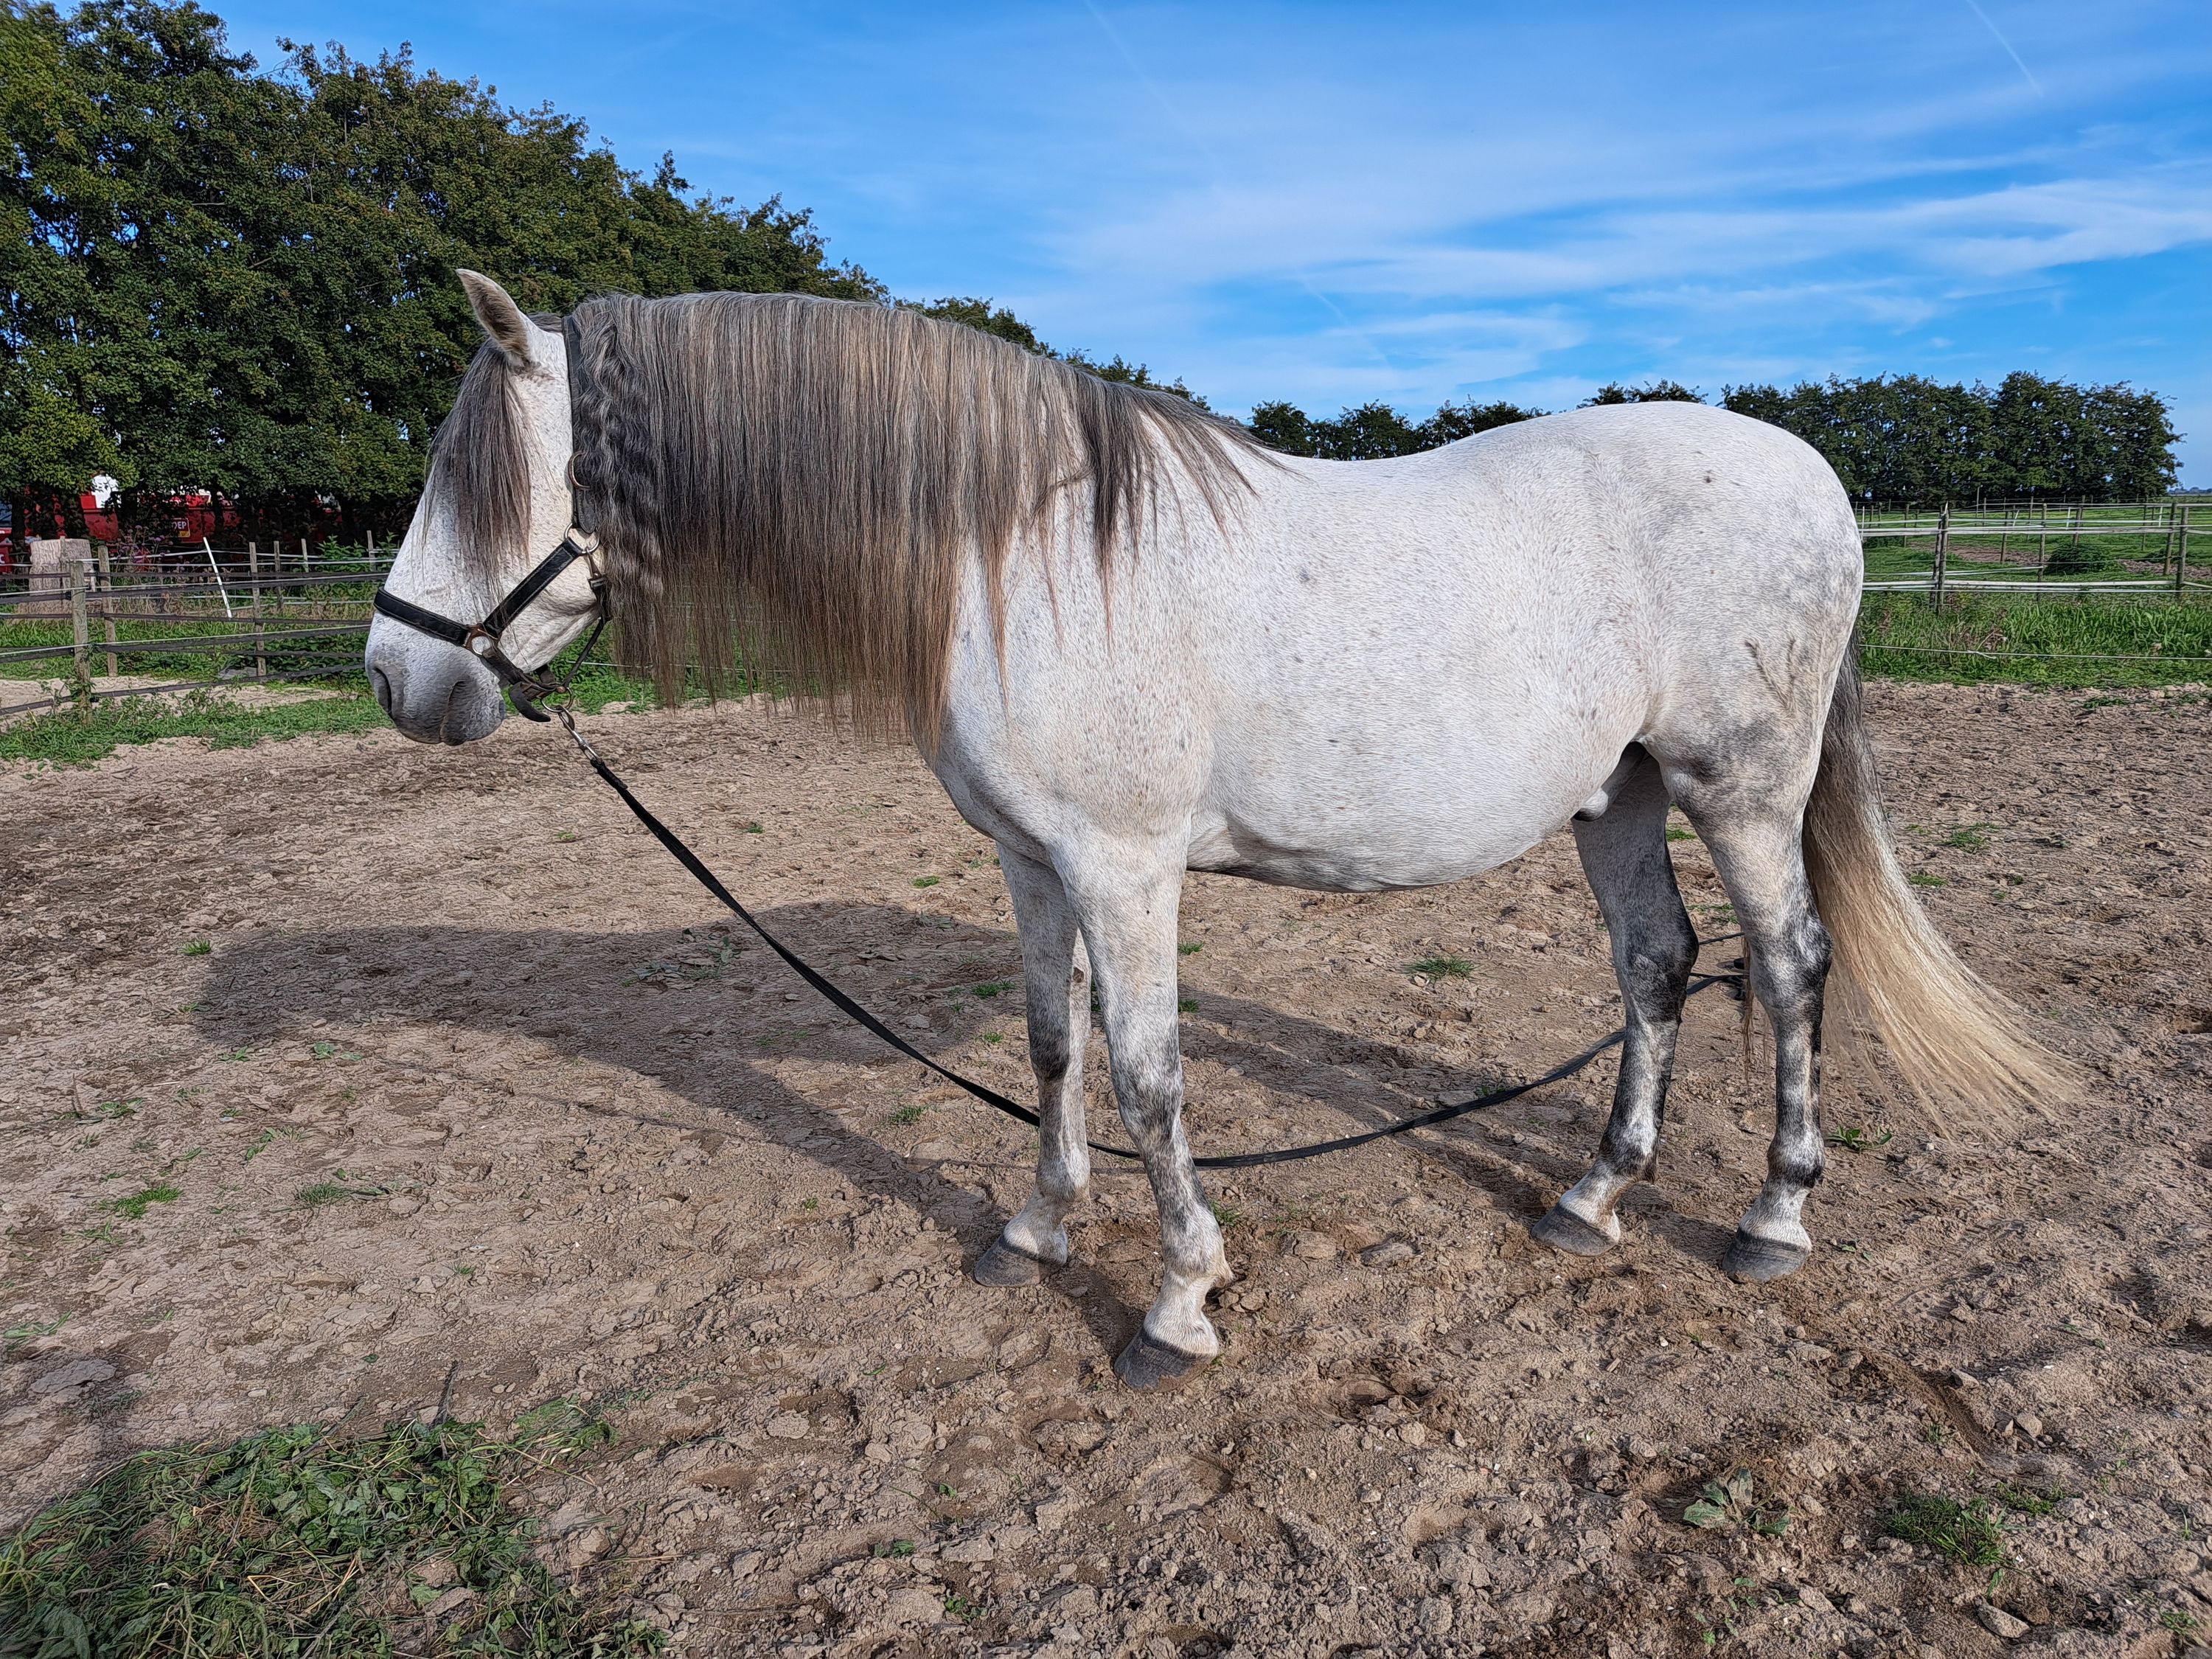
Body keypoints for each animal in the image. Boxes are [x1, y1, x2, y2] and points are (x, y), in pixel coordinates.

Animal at [365, 271, 2066, 1390]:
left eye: (474, 471)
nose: (395, 674)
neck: (1020, 554)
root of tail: (1816, 475)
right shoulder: (1030, 861)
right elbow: (1051, 1045)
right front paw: (1036, 1233)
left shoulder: (1124, 868)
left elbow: (1149, 1072)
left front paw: (1176, 1301)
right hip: (1622, 793)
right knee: (1657, 966)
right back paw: (1593, 1200)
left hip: (1744, 788)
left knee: (1788, 965)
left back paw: (1775, 1215)